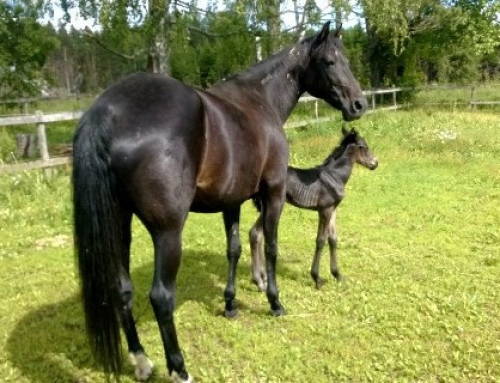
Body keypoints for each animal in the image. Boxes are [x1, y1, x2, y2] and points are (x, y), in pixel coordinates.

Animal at [248, 126, 376, 292]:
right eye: (364, 147)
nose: (375, 163)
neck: (334, 176)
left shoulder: (333, 209)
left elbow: (333, 239)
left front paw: (337, 275)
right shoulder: (325, 210)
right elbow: (320, 240)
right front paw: (317, 278)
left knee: (258, 235)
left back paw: (261, 278)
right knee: (256, 233)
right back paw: (259, 281)